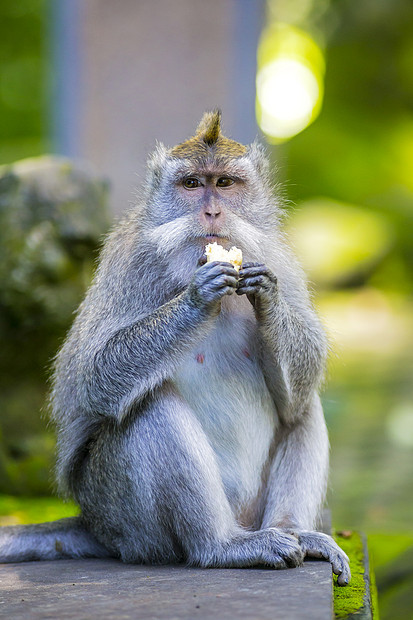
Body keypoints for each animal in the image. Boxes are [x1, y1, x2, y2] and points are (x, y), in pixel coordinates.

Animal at [0, 112, 350, 588]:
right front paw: (197, 299)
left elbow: (298, 390)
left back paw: (293, 532)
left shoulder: (279, 255)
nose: (212, 211)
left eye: (224, 183)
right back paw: (221, 546)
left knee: (305, 407)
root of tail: (95, 525)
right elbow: (91, 376)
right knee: (151, 406)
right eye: (191, 184)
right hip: (125, 518)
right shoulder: (129, 261)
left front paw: (268, 296)